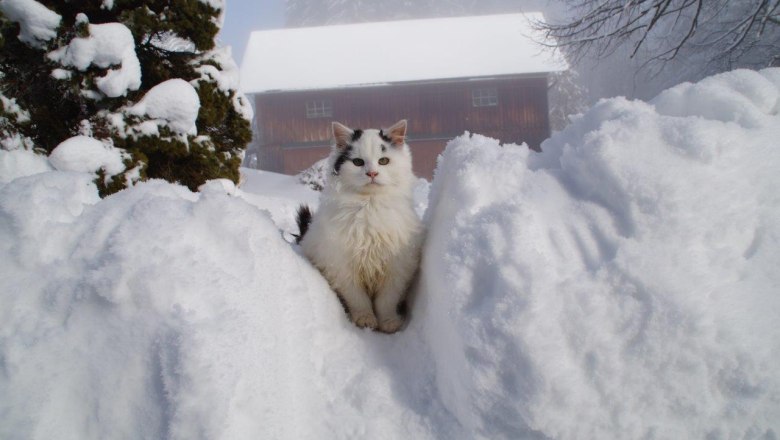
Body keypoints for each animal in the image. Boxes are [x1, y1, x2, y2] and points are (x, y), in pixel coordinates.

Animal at [296, 120, 424, 334]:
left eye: (383, 161)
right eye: (357, 162)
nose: (372, 173)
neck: (369, 206)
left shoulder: (397, 267)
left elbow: (386, 301)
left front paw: (388, 323)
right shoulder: (342, 266)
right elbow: (359, 300)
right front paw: (366, 320)